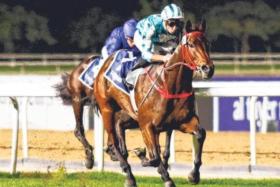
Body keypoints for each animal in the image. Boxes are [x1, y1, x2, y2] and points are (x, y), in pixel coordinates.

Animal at [92, 19, 214, 186]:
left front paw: (193, 175)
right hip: (107, 110)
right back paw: (129, 175)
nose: (208, 68)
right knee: (116, 141)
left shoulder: (181, 121)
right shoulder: (146, 125)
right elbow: (155, 157)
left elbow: (200, 134)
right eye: (191, 44)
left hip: (128, 115)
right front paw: (164, 176)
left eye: (207, 43)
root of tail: (105, 62)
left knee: (120, 129)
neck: (170, 85)